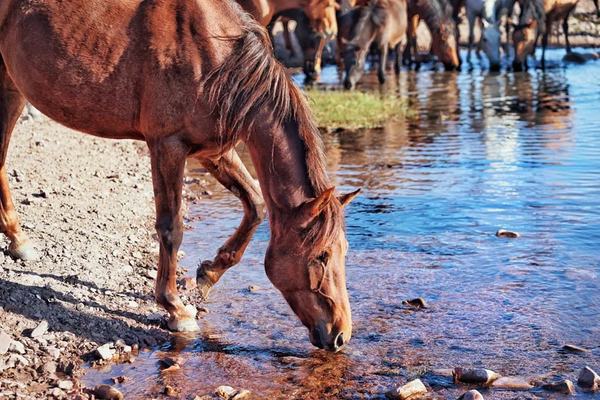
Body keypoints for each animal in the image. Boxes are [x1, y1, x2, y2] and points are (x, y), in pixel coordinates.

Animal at [0, 0, 358, 350]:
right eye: (322, 255)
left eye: (343, 251)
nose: (340, 335)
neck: (217, 57)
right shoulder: (167, 146)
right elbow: (171, 228)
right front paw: (175, 308)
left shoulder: (212, 151)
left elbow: (255, 203)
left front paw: (209, 274)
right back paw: (18, 239)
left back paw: (18, 241)